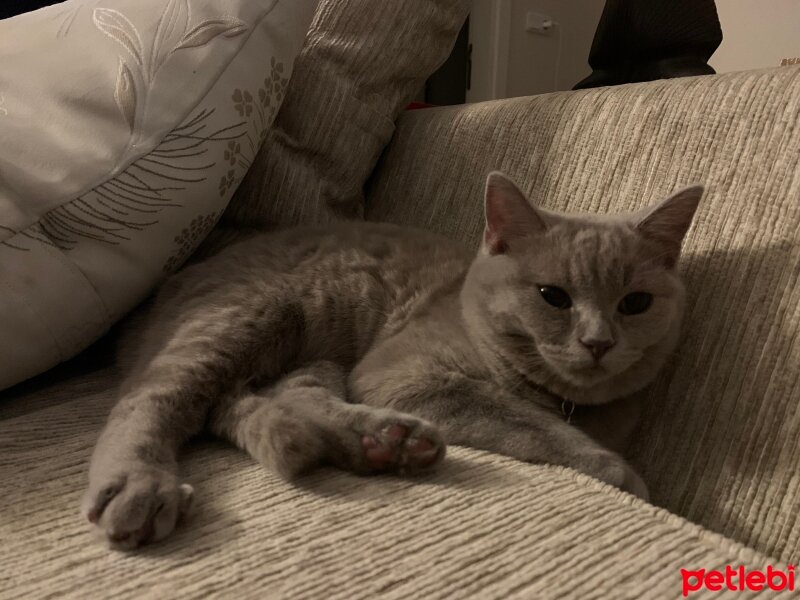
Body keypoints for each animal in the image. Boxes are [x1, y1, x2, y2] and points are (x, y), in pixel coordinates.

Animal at [83, 172, 700, 548]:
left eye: (635, 303)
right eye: (554, 297)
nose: (599, 341)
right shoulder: (401, 375)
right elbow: (525, 420)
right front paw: (618, 473)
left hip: (312, 357)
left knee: (279, 397)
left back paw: (382, 442)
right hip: (246, 320)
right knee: (151, 401)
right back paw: (139, 486)